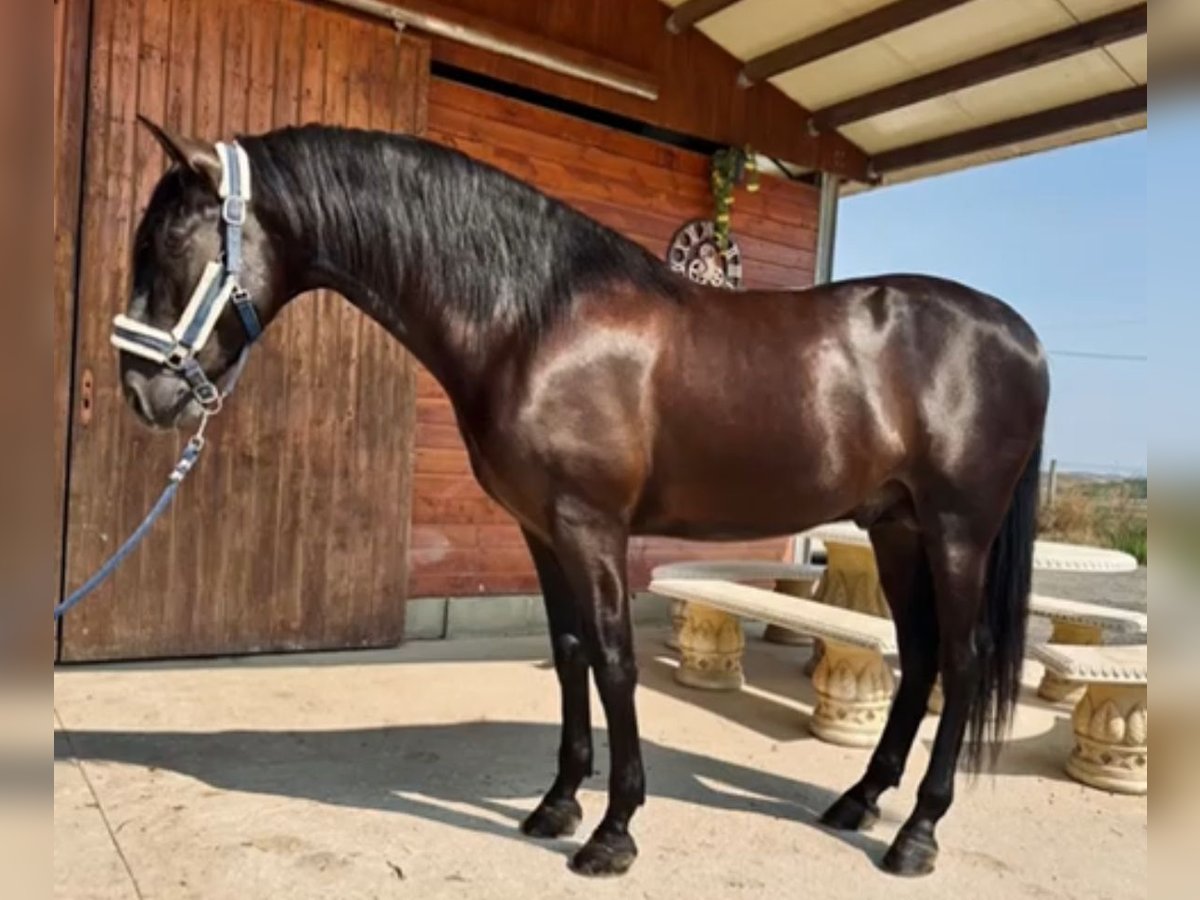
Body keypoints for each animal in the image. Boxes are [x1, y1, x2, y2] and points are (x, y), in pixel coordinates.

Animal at [117, 120, 1046, 883]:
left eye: (168, 245)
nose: (139, 393)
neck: (536, 320)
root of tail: (1018, 334)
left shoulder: (590, 526)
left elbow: (615, 659)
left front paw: (613, 831)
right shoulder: (540, 527)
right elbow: (569, 654)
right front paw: (558, 803)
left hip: (956, 531)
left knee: (961, 663)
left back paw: (916, 835)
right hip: (896, 528)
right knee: (920, 656)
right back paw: (859, 800)